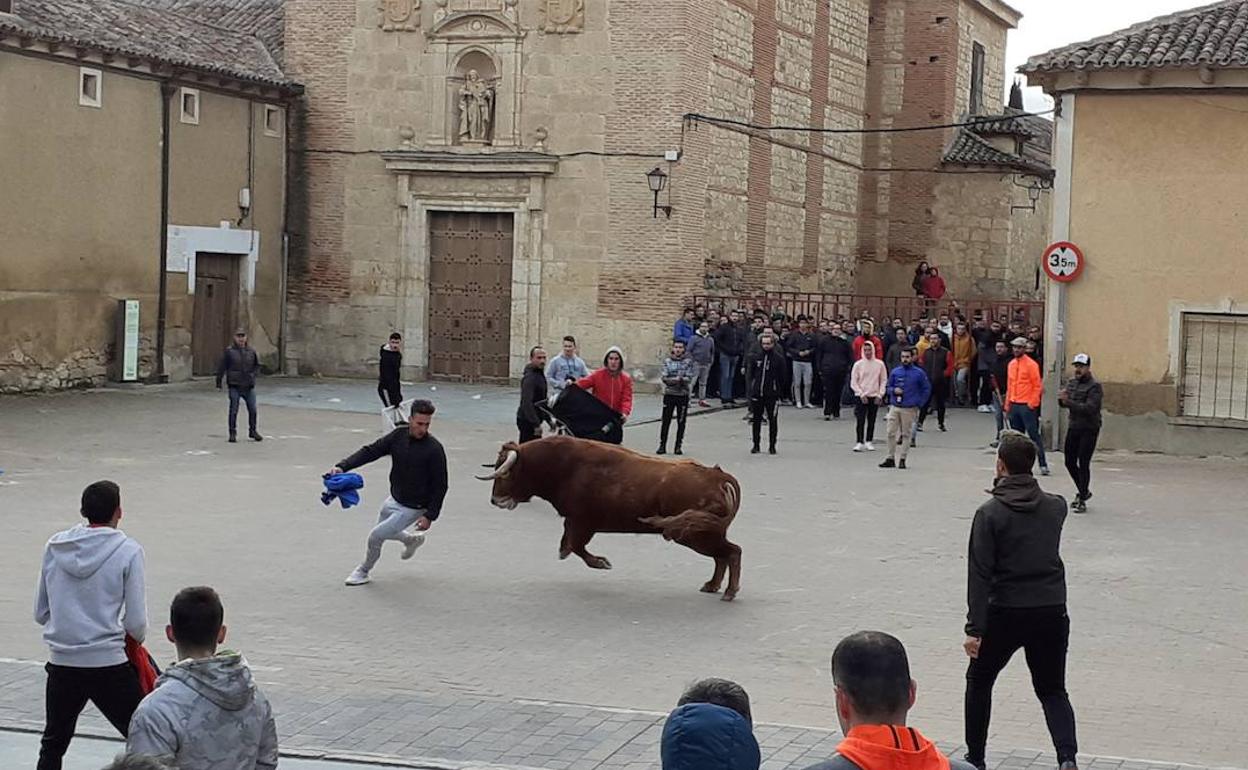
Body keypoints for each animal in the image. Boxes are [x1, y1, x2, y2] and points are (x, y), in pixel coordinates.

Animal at [471, 434, 733, 596]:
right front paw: (564, 551)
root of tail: (719, 477)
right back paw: (713, 586)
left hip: (695, 535)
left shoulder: (583, 523)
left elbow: (577, 546)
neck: (563, 466)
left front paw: (600, 562)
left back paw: (727, 591)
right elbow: (569, 542)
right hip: (705, 535)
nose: (495, 500)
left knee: (731, 553)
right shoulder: (575, 522)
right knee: (723, 556)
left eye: (506, 473)